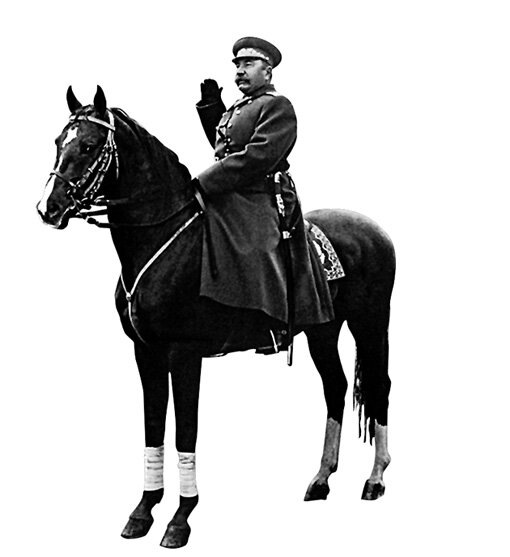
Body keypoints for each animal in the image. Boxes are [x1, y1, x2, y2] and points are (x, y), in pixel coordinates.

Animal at [36, 86, 396, 549]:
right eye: (58, 142)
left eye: (90, 145)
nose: (49, 207)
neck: (166, 239)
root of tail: (375, 230)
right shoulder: (146, 354)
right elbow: (154, 427)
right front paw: (144, 509)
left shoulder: (185, 355)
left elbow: (184, 431)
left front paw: (180, 518)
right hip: (322, 331)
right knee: (334, 387)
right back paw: (321, 479)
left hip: (371, 324)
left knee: (380, 387)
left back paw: (376, 477)